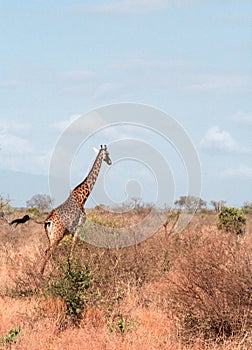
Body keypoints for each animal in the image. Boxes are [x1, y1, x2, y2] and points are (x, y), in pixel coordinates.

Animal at [39, 144, 111, 274]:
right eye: (107, 154)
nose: (110, 161)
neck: (82, 197)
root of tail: (48, 221)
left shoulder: (72, 230)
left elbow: (70, 251)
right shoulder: (80, 225)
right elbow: (72, 251)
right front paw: (71, 269)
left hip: (50, 236)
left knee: (47, 252)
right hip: (57, 236)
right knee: (48, 253)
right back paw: (40, 275)